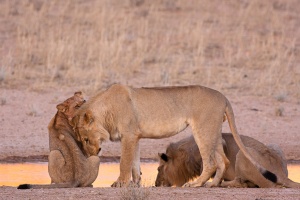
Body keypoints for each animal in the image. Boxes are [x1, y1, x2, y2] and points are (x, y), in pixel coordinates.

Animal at [71, 84, 276, 188]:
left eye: (86, 139)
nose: (92, 154)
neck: (107, 109)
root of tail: (223, 96)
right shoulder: (135, 136)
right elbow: (135, 163)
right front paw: (136, 183)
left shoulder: (129, 135)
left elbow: (124, 162)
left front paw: (120, 183)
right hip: (213, 132)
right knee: (223, 160)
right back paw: (213, 184)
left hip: (202, 129)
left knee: (210, 162)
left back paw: (196, 184)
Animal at [155, 134, 300, 188]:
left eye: (159, 169)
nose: (156, 184)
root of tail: (281, 173)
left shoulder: (220, 143)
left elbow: (210, 167)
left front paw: (204, 183)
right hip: (274, 145)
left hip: (242, 153)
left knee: (247, 182)